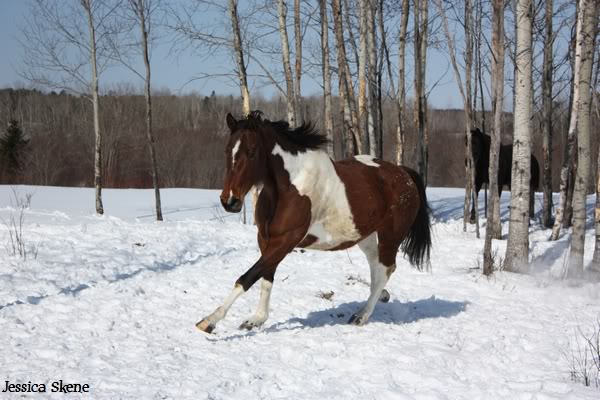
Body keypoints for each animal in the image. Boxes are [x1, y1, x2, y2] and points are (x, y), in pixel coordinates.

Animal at [197, 111, 432, 332]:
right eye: (227, 151)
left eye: (252, 153)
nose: (230, 201)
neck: (289, 187)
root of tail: (404, 174)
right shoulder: (266, 240)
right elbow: (265, 277)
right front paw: (255, 320)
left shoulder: (285, 241)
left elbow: (248, 277)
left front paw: (209, 321)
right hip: (365, 236)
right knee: (377, 268)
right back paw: (378, 299)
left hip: (390, 236)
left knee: (385, 269)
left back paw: (361, 316)